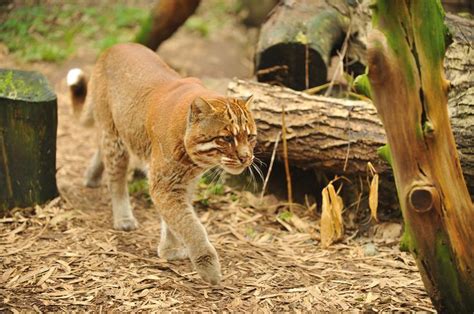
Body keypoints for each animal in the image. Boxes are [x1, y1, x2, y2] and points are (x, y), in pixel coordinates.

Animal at [66, 42, 256, 284]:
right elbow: (189, 225)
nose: (246, 157)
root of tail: (113, 47)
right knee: (117, 179)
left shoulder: (182, 183)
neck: (193, 160)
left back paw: (91, 177)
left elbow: (175, 218)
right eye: (227, 138)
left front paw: (169, 250)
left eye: (250, 137)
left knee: (101, 148)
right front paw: (209, 268)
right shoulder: (164, 184)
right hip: (116, 140)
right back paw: (123, 218)